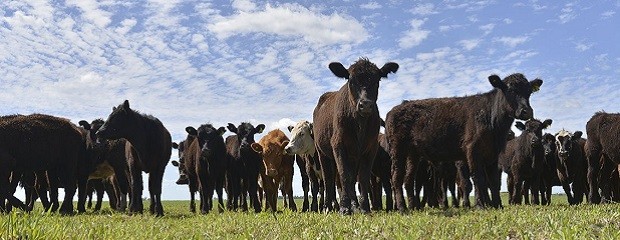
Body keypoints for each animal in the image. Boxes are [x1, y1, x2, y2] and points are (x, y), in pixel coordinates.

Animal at [312, 57, 400, 214]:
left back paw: (355, 205)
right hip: (322, 152)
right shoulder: (338, 145)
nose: (365, 105)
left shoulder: (370, 148)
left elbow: (362, 178)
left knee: (352, 179)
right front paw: (344, 207)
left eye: (377, 80)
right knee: (328, 179)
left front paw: (363, 207)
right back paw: (327, 207)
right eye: (351, 80)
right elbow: (344, 176)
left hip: (353, 156)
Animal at [388, 73, 544, 212]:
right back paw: (402, 208)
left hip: (413, 154)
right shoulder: (472, 150)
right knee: (396, 177)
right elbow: (477, 178)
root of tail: (395, 108)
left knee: (408, 180)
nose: (526, 111)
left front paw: (497, 205)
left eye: (529, 92)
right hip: (398, 150)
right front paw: (480, 205)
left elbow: (493, 181)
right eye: (510, 90)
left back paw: (413, 207)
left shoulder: (494, 154)